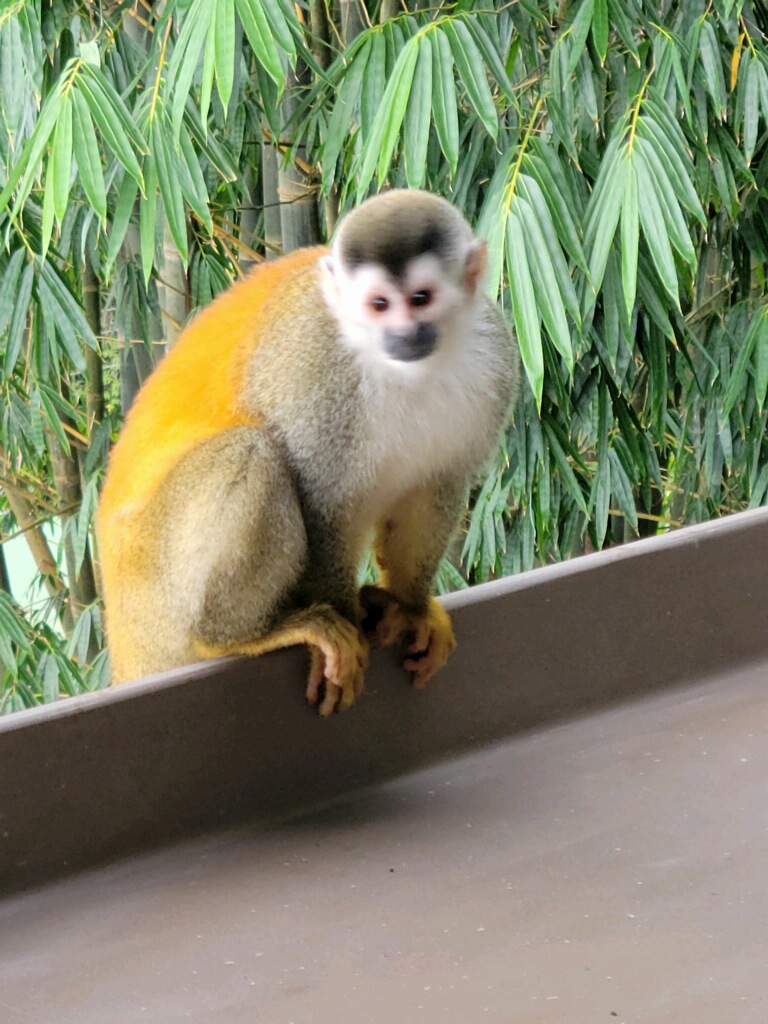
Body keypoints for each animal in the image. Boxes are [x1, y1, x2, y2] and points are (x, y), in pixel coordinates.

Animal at [97, 189, 518, 716]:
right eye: (379, 304)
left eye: (420, 299)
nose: (404, 335)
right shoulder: (317, 369)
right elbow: (323, 506)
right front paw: (348, 621)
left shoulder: (493, 359)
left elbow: (435, 488)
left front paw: (410, 609)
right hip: (152, 586)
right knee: (252, 456)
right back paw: (234, 636)